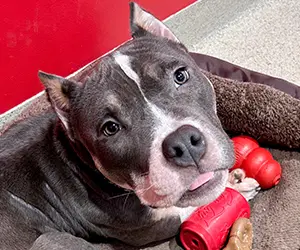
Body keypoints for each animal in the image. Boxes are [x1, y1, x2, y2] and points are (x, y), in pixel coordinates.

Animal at [0, 2, 234, 250]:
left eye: (180, 75)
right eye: (110, 128)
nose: (184, 144)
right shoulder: (151, 226)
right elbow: (187, 206)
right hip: (50, 239)